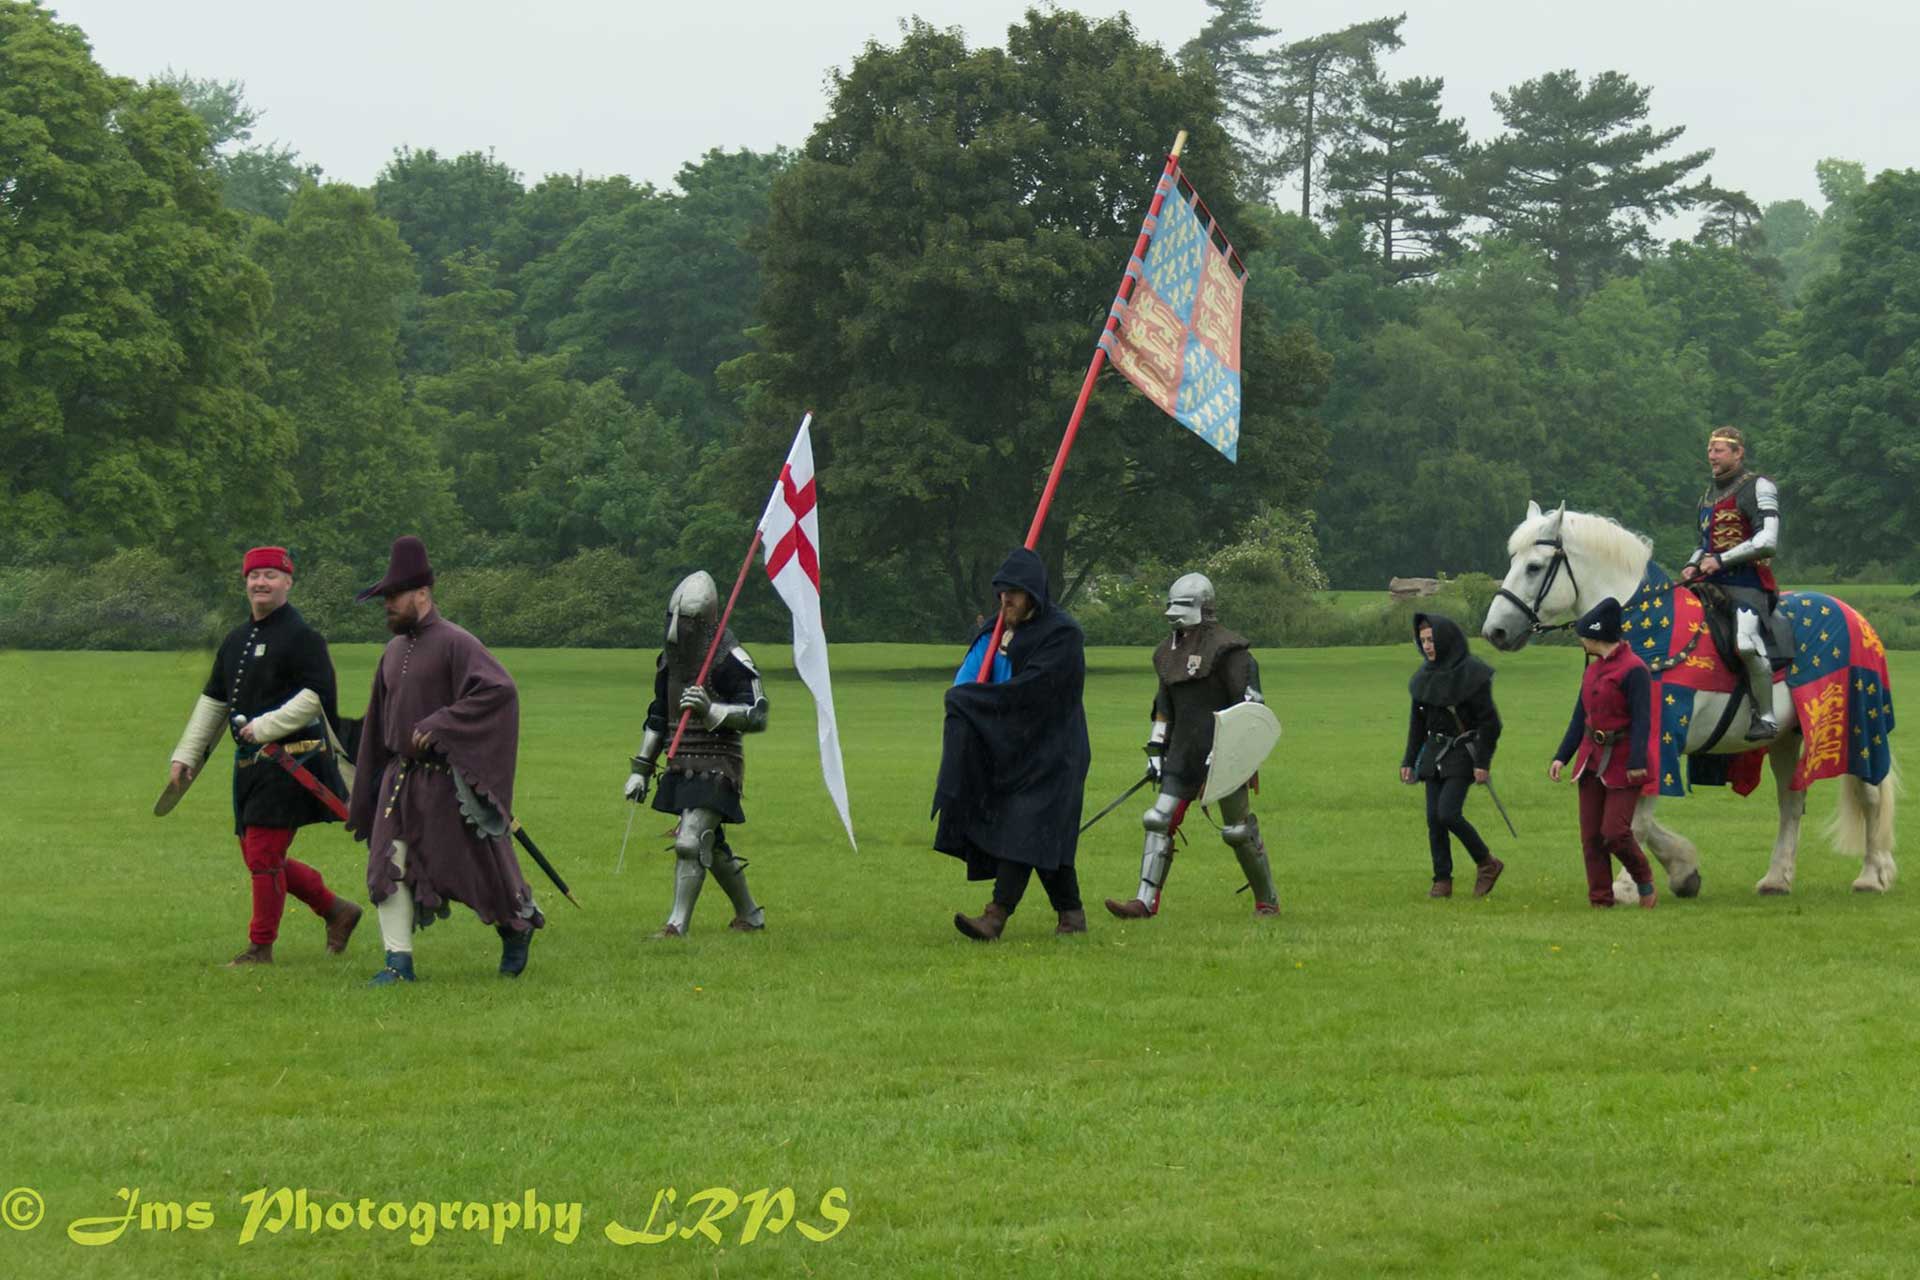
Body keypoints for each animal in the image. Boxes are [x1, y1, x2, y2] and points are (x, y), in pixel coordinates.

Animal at [1482, 498, 1889, 901]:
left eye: (1534, 567)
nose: (1495, 631)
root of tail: (1855, 617)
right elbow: (1625, 813)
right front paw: (1683, 870)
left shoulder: (1655, 740)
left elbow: (1638, 816)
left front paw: (1627, 886)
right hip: (1786, 737)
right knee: (1791, 801)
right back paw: (1777, 879)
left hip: (1859, 726)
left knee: (1870, 796)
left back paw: (1873, 875)